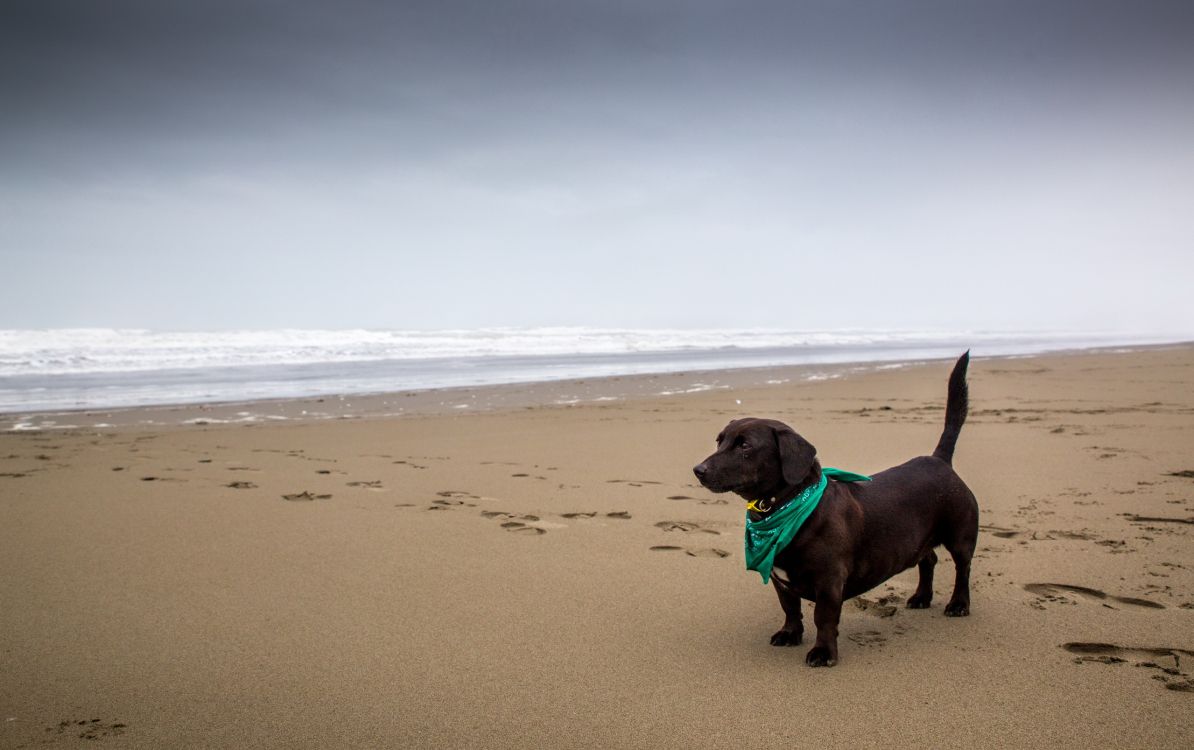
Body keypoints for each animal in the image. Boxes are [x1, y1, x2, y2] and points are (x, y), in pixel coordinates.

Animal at [692, 353, 979, 668]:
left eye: (745, 445)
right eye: (720, 441)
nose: (698, 470)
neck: (786, 507)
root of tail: (939, 460)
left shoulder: (829, 581)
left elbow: (824, 619)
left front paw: (824, 652)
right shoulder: (781, 582)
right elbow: (790, 608)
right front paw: (790, 633)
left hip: (961, 537)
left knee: (962, 569)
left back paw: (958, 604)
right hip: (917, 540)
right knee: (928, 560)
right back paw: (921, 597)